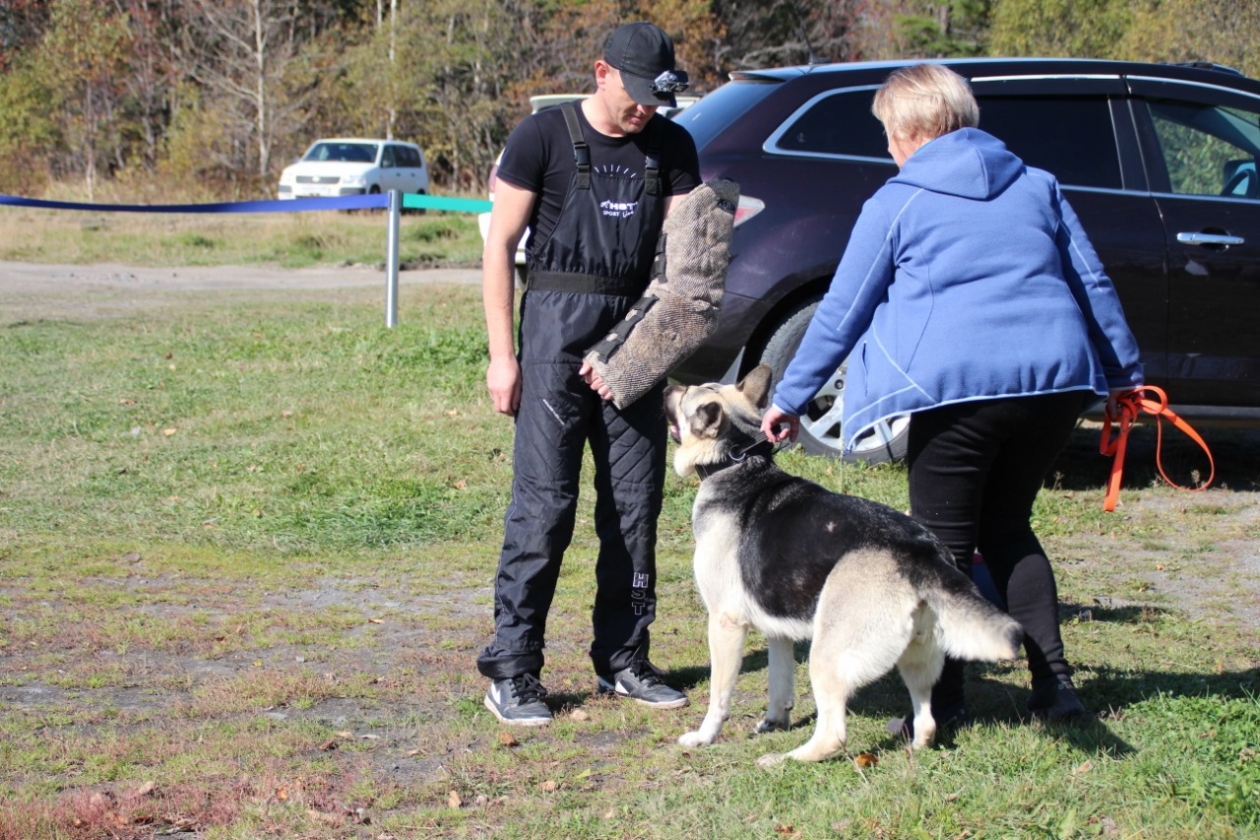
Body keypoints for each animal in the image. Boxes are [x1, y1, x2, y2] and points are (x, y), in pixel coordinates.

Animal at [660, 365, 1023, 765]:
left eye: (686, 395)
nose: (665, 388)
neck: (737, 460)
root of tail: (921, 551)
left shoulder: (725, 624)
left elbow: (719, 696)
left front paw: (704, 736)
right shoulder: (778, 632)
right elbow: (778, 685)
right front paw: (774, 722)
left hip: (825, 656)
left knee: (833, 734)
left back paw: (784, 760)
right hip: (916, 654)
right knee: (927, 721)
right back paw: (913, 746)